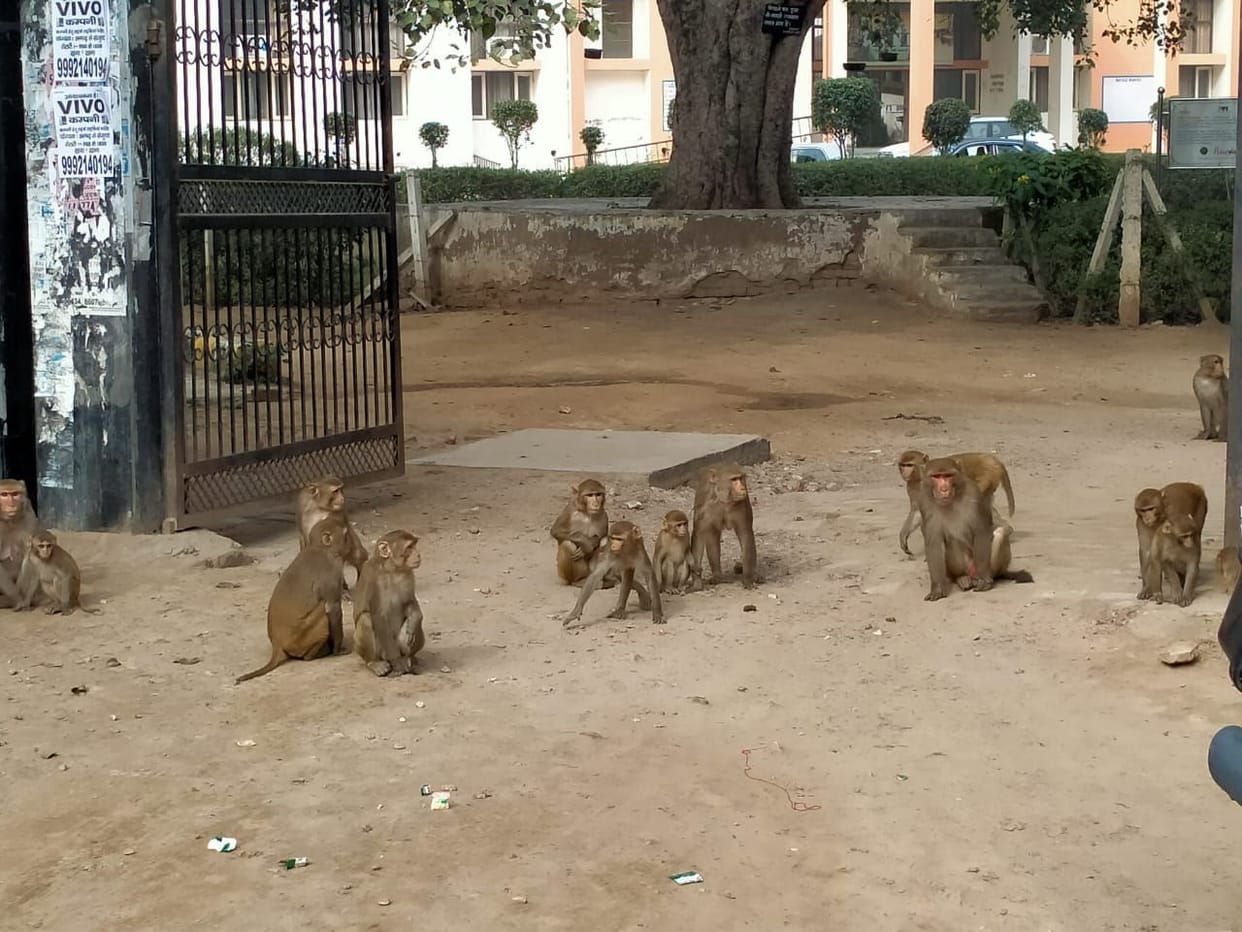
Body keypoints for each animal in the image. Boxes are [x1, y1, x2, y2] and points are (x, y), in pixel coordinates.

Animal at [0, 478, 39, 608]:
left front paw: (25, 599)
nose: (12, 504)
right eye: (4, 494)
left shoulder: (28, 513)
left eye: (15, 494)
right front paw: (17, 598)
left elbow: (32, 554)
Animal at [236, 515, 352, 683]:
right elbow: (333, 608)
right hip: (300, 637)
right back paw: (312, 655)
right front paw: (337, 649)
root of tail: (276, 643)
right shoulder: (332, 575)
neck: (321, 549)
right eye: (346, 535)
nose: (352, 544)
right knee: (322, 611)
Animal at [353, 530, 424, 677]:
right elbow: (379, 617)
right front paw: (397, 662)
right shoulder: (372, 579)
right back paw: (375, 663)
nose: (419, 554)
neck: (391, 570)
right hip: (381, 651)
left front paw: (414, 621)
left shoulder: (408, 574)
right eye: (409, 547)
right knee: (365, 619)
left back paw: (411, 658)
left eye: (415, 545)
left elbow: (410, 603)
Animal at [917, 457, 1033, 601]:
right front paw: (937, 588)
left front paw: (984, 582)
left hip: (987, 566)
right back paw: (961, 578)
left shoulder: (975, 496)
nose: (944, 489)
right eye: (936, 477)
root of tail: (973, 573)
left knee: (1000, 533)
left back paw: (988, 578)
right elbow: (934, 542)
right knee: (952, 541)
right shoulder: (924, 502)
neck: (952, 501)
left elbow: (981, 531)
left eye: (948, 476)